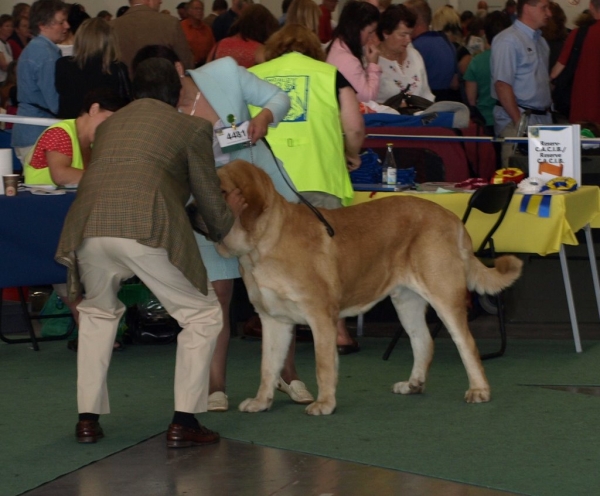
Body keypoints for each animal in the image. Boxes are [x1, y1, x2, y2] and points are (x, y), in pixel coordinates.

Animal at [214, 160, 520, 414]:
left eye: (221, 189)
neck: (261, 245)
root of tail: (452, 218)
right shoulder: (273, 320)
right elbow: (268, 367)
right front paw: (261, 401)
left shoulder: (320, 316)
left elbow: (323, 364)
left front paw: (324, 404)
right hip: (406, 300)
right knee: (423, 340)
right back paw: (413, 384)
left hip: (444, 294)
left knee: (466, 343)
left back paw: (479, 390)